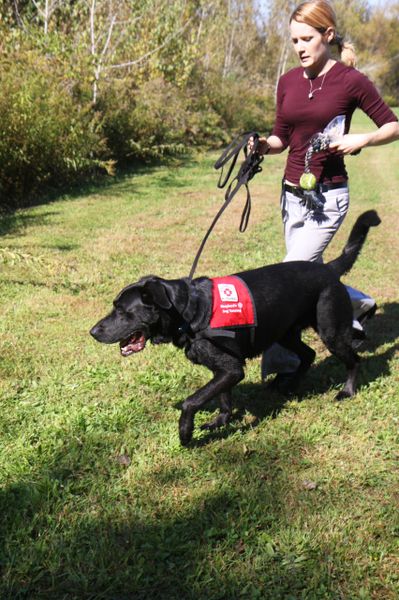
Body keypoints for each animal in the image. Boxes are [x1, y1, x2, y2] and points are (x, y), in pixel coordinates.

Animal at [90, 209, 382, 442]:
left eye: (121, 310)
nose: (92, 332)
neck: (188, 312)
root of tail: (329, 269)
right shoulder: (224, 369)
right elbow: (224, 400)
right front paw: (221, 422)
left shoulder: (230, 369)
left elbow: (191, 401)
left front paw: (185, 432)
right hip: (284, 332)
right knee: (308, 355)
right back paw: (289, 385)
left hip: (330, 330)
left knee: (353, 360)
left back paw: (347, 391)